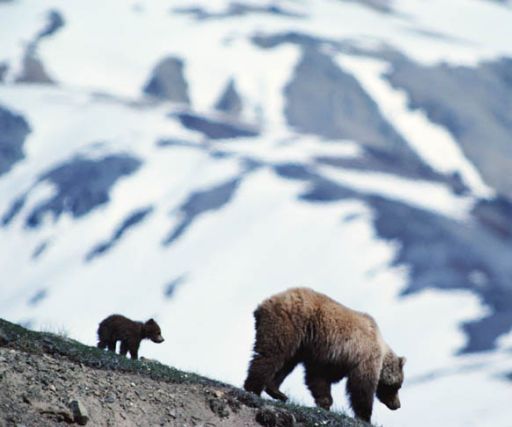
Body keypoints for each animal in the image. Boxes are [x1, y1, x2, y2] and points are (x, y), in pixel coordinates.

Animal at [242, 290, 406, 422]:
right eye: (398, 386)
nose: (397, 405)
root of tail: (263, 304)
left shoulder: (328, 356)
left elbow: (318, 377)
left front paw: (324, 402)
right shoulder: (364, 356)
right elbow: (361, 386)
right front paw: (365, 416)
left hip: (299, 342)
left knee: (286, 363)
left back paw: (277, 392)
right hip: (289, 323)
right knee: (271, 354)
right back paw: (253, 388)